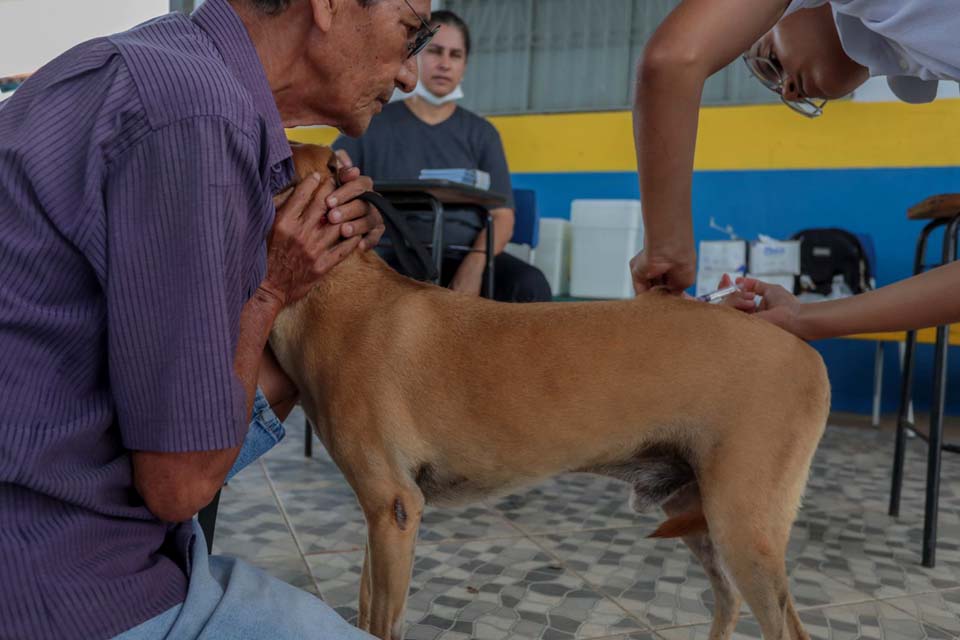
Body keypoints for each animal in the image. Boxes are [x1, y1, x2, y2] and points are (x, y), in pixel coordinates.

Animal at [272, 145, 832, 640]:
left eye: (279, 165)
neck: (337, 294)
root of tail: (807, 354)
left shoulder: (394, 507)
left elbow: (380, 620)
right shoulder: (381, 514)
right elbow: (366, 602)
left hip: (743, 525)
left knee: (786, 627)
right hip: (700, 513)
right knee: (728, 601)